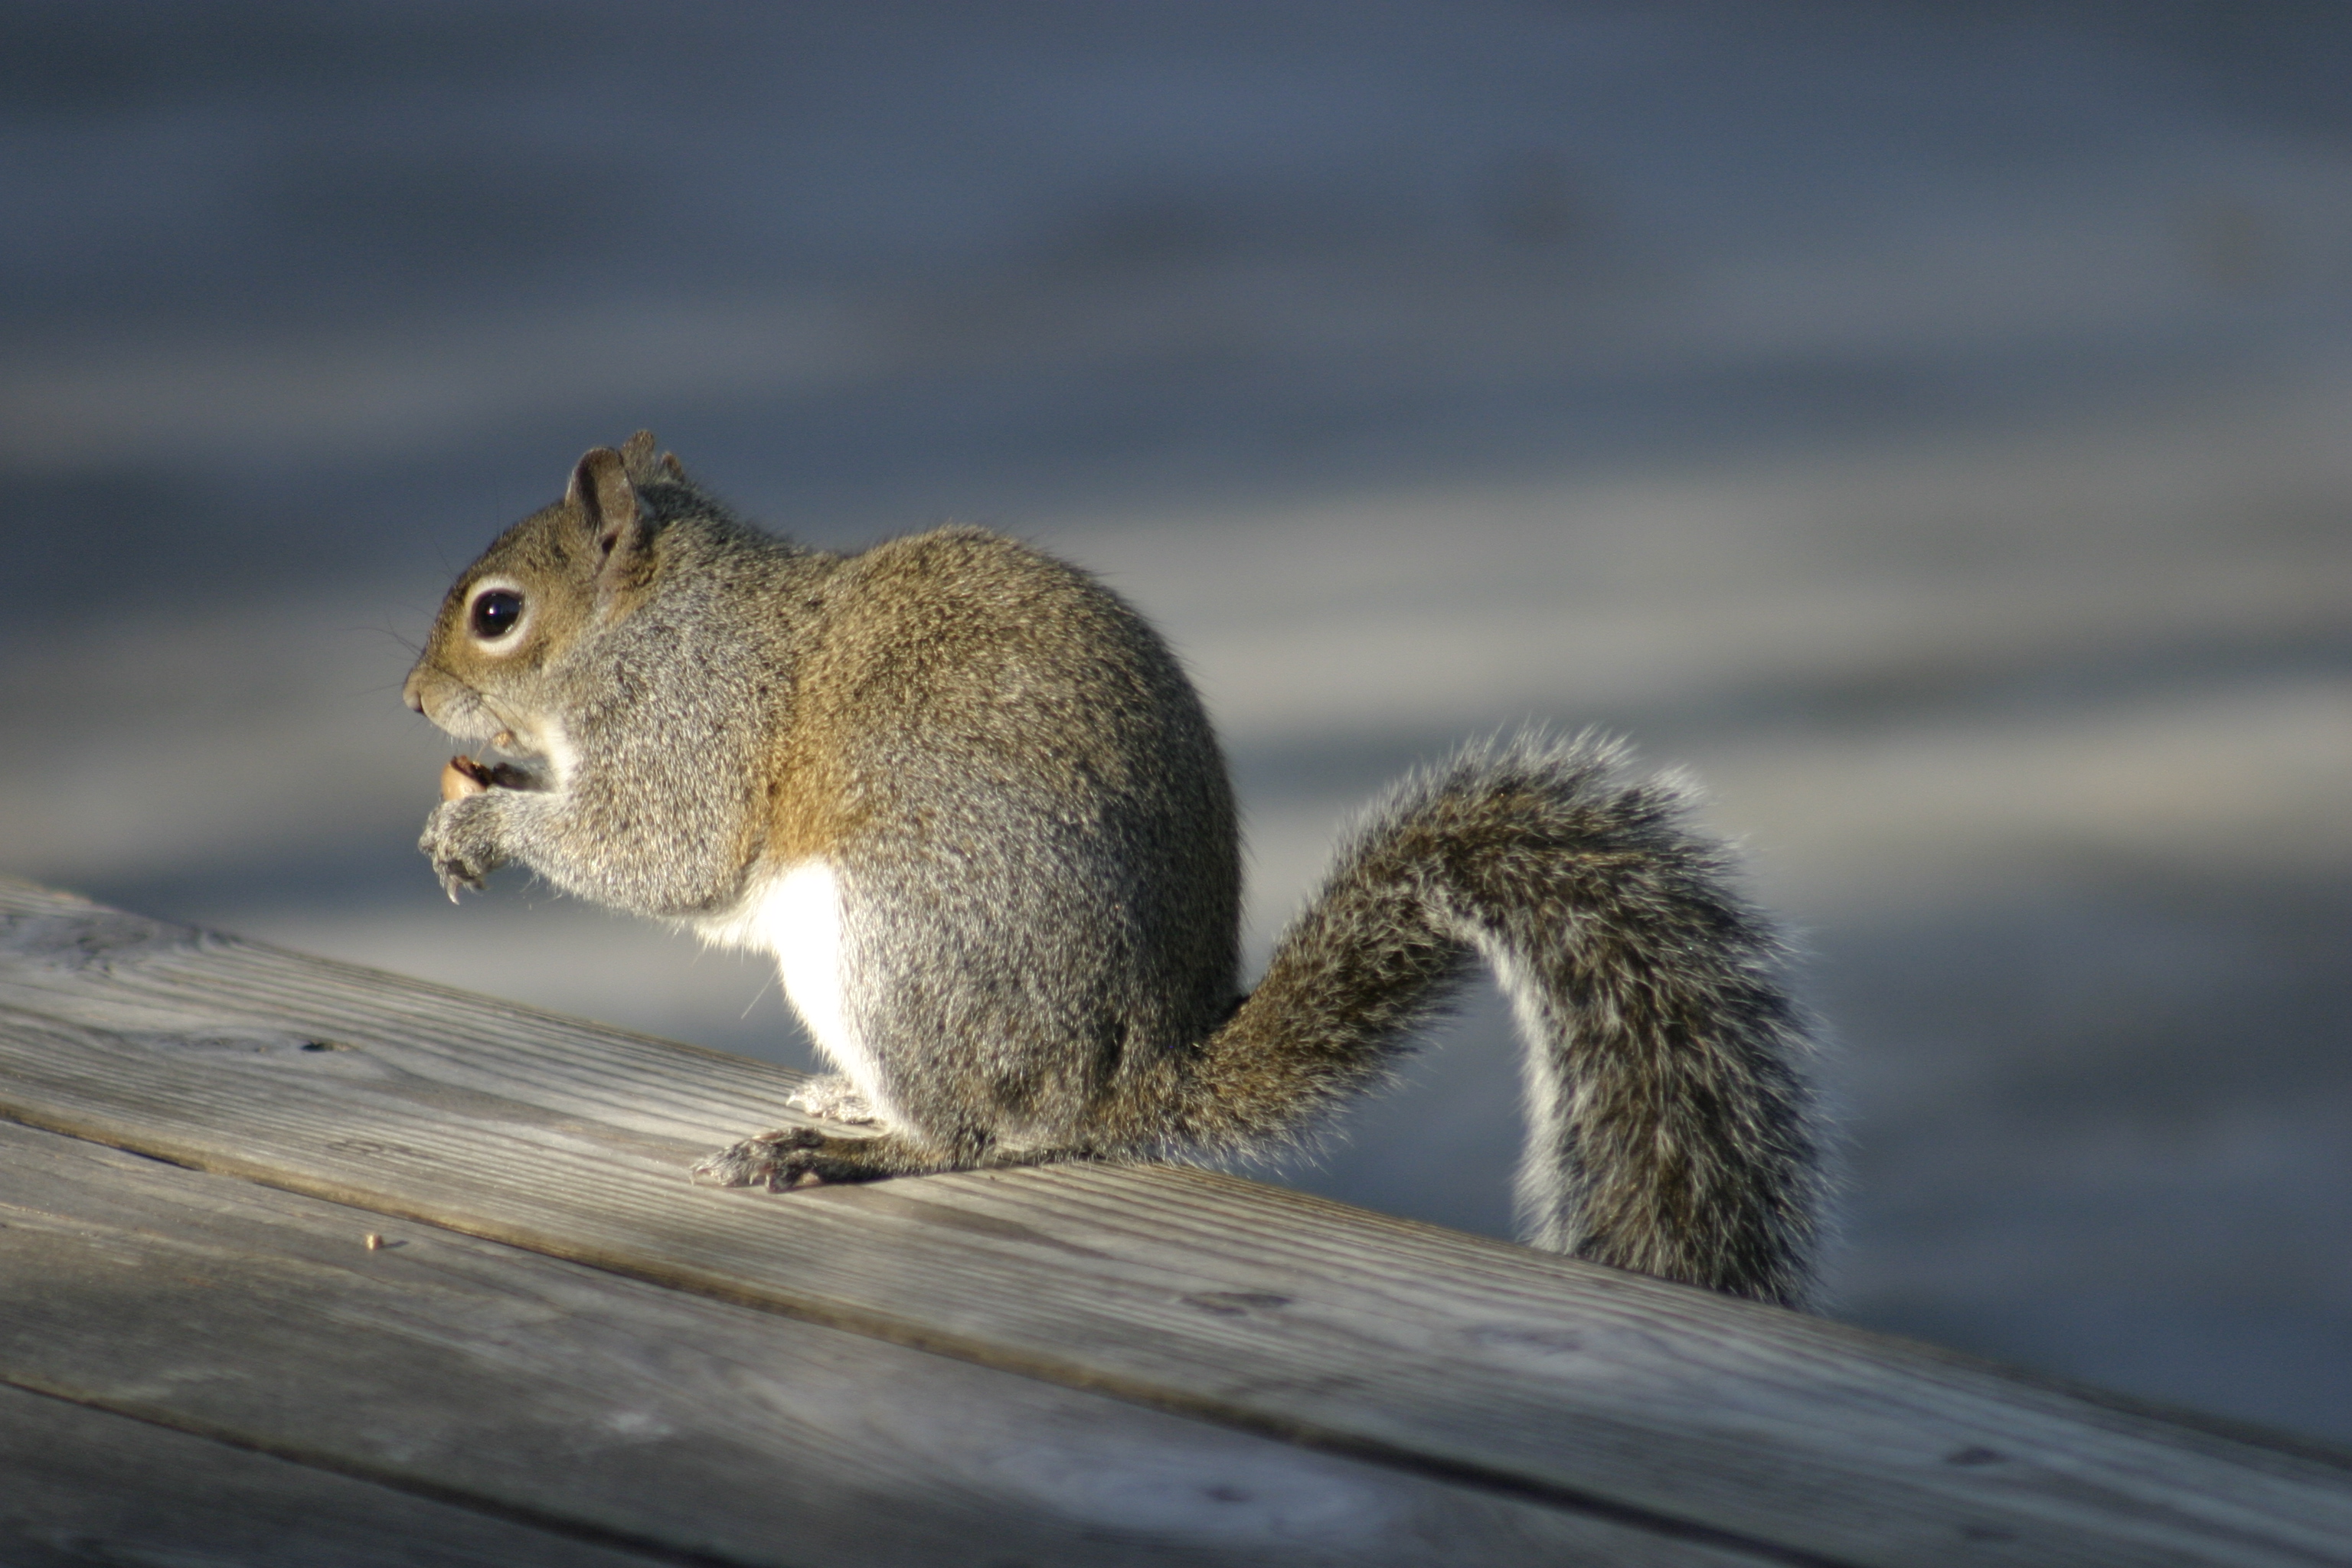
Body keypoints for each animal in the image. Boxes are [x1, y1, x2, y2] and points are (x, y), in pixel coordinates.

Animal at [413, 435, 1824, 1307]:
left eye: (497, 614)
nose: (417, 697)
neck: (661, 621)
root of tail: (1127, 1080)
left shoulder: (696, 728)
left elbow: (661, 849)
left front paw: (487, 829)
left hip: (899, 936)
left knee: (976, 1133)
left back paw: (843, 1147)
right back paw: (842, 1100)